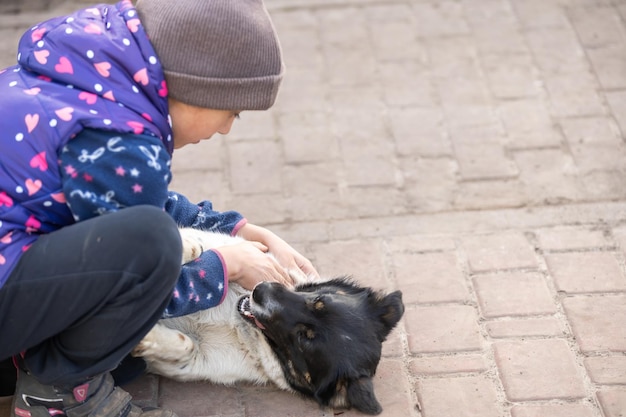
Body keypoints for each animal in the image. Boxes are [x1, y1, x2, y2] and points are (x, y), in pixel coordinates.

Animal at [133, 228, 404, 412]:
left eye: (304, 338)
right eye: (318, 299)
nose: (260, 290)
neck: (237, 326)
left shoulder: (194, 363)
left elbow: (185, 346)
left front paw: (146, 338)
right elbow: (194, 243)